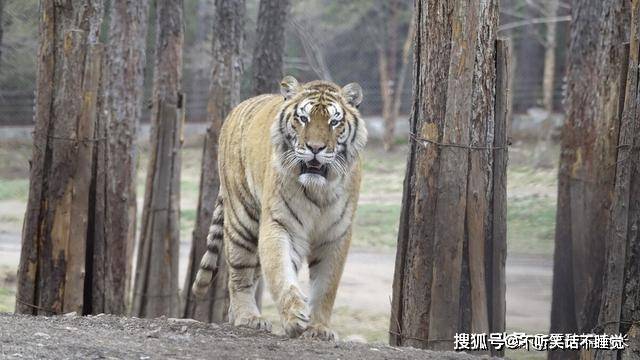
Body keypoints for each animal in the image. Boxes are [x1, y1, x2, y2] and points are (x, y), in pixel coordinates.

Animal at [191, 76, 364, 340]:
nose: (315, 148)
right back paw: (248, 317)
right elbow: (281, 272)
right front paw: (294, 316)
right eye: (303, 118)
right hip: (242, 220)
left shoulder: (336, 235)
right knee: (240, 274)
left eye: (334, 122)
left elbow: (326, 287)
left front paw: (319, 328)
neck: (319, 190)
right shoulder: (280, 224)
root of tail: (235, 110)